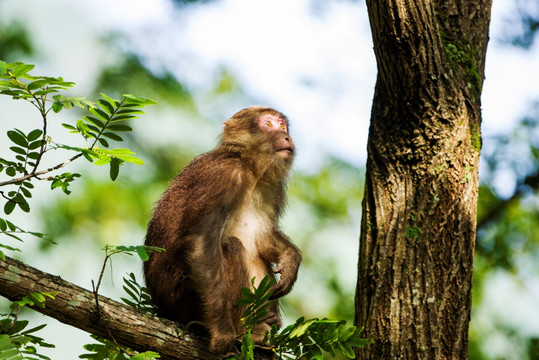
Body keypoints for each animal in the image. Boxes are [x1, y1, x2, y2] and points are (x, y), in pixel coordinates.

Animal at [144, 105, 304, 352]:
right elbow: (203, 243)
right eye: (268, 124)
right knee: (229, 246)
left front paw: (291, 258)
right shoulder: (224, 176)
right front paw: (222, 333)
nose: (286, 137)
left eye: (282, 126)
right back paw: (250, 333)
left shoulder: (271, 188)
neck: (249, 168)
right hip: (183, 302)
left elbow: (263, 237)